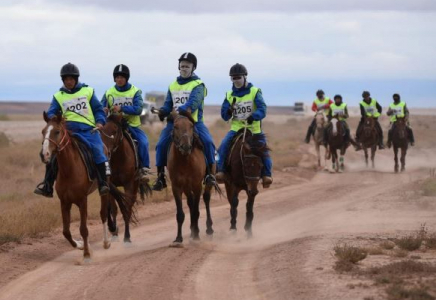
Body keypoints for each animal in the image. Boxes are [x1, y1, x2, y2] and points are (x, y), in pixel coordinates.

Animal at [41, 111, 133, 262]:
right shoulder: (64, 202)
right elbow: (66, 231)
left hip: (105, 190)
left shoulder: (82, 200)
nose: (44, 154)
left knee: (103, 214)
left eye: (57, 131)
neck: (68, 170)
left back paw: (106, 242)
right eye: (43, 132)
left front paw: (87, 255)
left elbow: (83, 229)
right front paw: (81, 245)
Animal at [100, 114, 152, 244]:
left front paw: (127, 237)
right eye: (101, 131)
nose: (106, 151)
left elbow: (127, 208)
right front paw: (113, 229)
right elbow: (111, 207)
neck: (118, 158)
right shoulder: (110, 185)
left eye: (114, 131)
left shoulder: (130, 184)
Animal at [165, 110, 218, 246]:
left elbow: (196, 211)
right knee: (190, 202)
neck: (185, 160)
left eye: (191, 126)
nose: (186, 147)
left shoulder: (197, 185)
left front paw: (196, 235)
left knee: (206, 198)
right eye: (175, 126)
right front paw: (179, 238)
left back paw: (208, 229)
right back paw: (192, 230)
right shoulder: (176, 187)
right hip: (186, 188)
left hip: (207, 182)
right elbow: (180, 214)